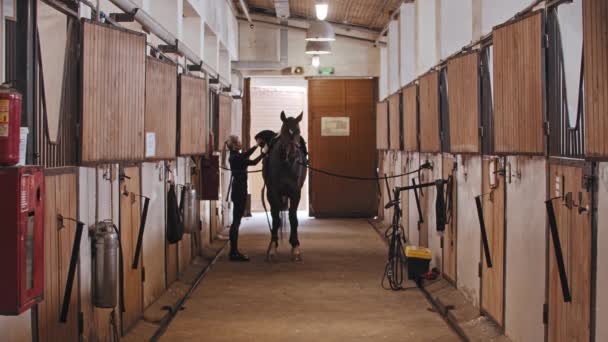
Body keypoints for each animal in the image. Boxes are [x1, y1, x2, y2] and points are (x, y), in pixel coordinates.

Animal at [262, 111, 306, 260]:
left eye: (298, 131)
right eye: (285, 131)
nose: (292, 154)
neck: (287, 165)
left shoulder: (295, 192)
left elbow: (293, 217)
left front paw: (295, 247)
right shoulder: (274, 192)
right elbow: (276, 219)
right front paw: (272, 249)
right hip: (270, 194)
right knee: (274, 215)